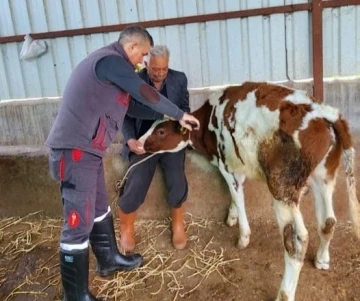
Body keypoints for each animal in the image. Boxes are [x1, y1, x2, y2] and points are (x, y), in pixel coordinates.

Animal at [139, 81, 360, 300]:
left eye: (160, 132)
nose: (138, 143)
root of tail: (325, 111)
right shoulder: (238, 163)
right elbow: (237, 193)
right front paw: (231, 216)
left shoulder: (225, 165)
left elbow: (237, 196)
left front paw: (243, 237)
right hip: (324, 176)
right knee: (328, 221)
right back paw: (321, 259)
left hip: (282, 188)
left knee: (297, 240)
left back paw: (285, 293)